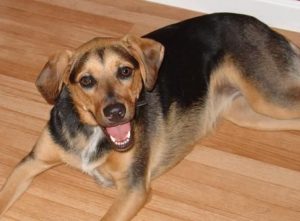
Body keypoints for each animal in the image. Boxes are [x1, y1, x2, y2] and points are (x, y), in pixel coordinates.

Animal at [1, 12, 300, 220]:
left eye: (125, 71)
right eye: (86, 81)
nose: (116, 112)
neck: (93, 132)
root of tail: (265, 27)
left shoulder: (133, 190)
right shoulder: (30, 162)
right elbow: (4, 195)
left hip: (269, 97)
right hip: (249, 112)